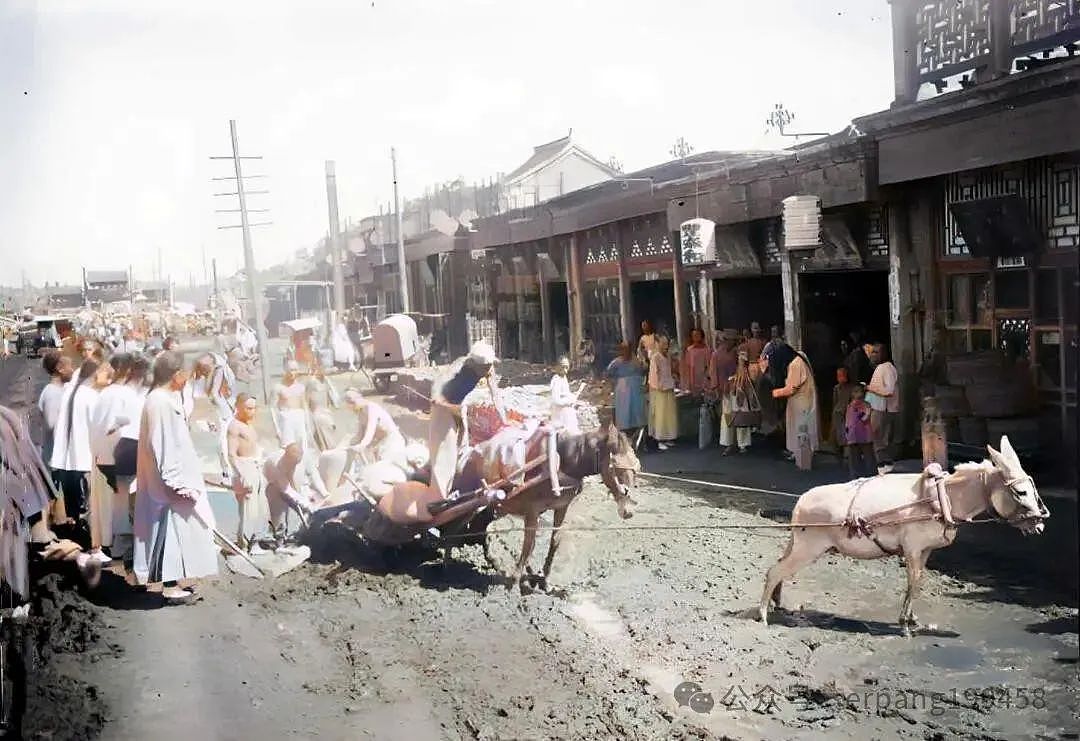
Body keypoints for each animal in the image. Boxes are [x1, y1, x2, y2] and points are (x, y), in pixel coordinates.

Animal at [760, 438, 1045, 635]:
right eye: (1020, 492)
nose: (1041, 523)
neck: (944, 498)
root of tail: (801, 502)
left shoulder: (926, 550)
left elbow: (918, 583)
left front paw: (911, 619)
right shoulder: (912, 548)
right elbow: (912, 582)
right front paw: (904, 625)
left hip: (799, 546)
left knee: (778, 569)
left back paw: (777, 603)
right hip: (808, 548)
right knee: (775, 571)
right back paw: (763, 613)